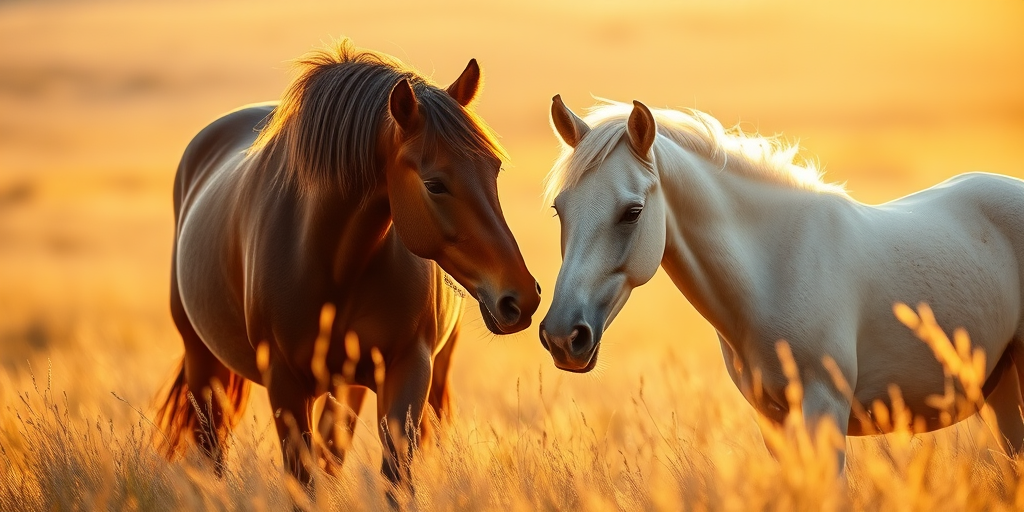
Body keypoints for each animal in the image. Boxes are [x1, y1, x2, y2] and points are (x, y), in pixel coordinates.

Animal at [154, 40, 541, 486]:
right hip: (202, 359)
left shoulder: (408, 369)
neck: (334, 263)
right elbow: (302, 478)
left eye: (494, 168)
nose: (522, 298)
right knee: (212, 446)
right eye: (435, 184)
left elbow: (395, 476)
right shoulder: (284, 382)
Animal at [539, 95, 1024, 470]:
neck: (773, 271)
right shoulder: (772, 420)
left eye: (633, 212)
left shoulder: (824, 411)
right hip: (1001, 391)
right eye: (560, 210)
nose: (563, 337)